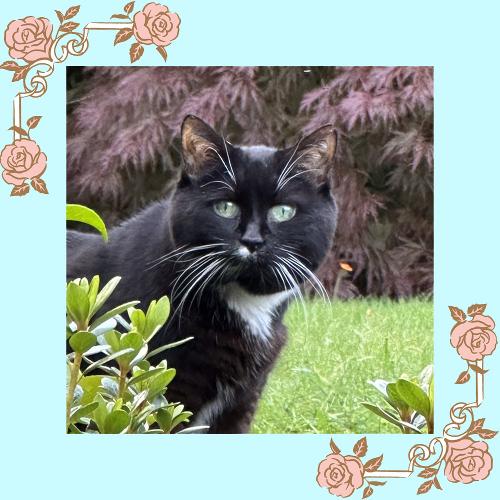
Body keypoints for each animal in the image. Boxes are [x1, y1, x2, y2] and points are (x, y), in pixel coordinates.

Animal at [66, 116, 338, 434]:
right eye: (225, 207)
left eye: (283, 211)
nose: (252, 240)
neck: (244, 303)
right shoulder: (160, 386)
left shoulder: (242, 400)